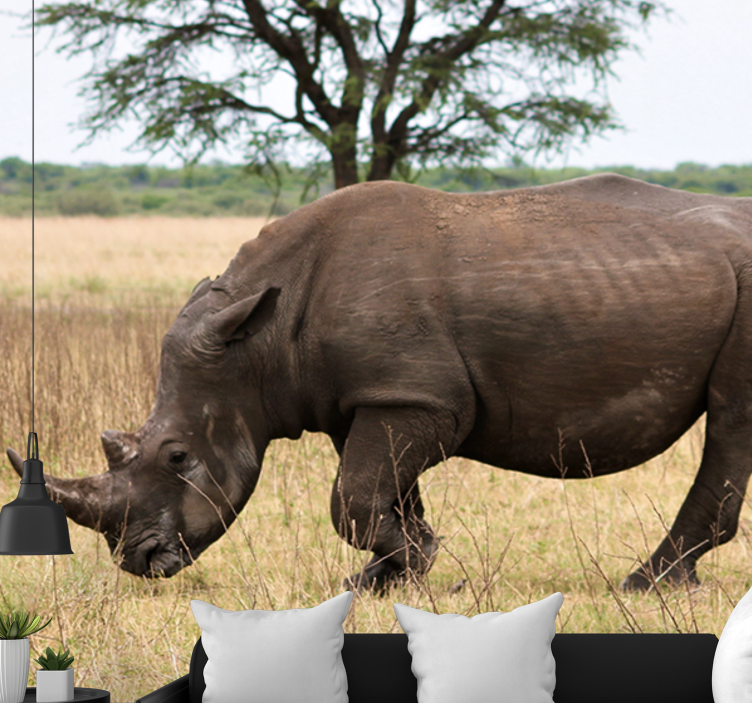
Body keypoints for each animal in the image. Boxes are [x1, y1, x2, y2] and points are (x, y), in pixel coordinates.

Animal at [7, 174, 752, 591]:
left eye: (179, 456)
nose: (139, 559)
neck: (259, 343)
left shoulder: (416, 397)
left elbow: (353, 500)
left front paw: (415, 565)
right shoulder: (375, 397)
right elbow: (384, 493)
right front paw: (393, 574)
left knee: (731, 417)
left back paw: (649, 583)